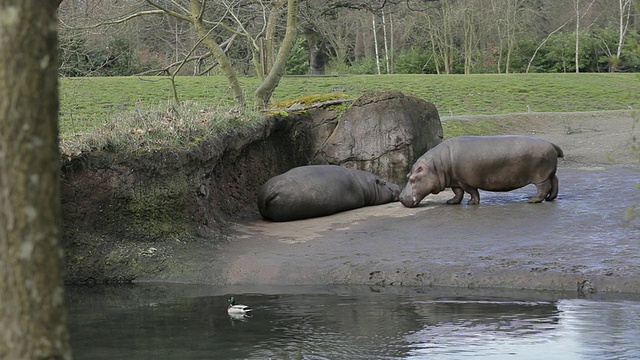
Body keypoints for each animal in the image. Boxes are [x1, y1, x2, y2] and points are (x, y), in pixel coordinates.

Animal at [400, 135, 564, 207]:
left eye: (413, 179)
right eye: (407, 175)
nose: (400, 198)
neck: (435, 166)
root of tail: (551, 143)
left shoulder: (465, 181)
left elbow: (472, 192)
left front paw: (472, 203)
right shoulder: (455, 181)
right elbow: (457, 193)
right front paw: (451, 202)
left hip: (540, 176)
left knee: (544, 187)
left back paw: (533, 200)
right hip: (549, 172)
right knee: (555, 181)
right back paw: (550, 199)